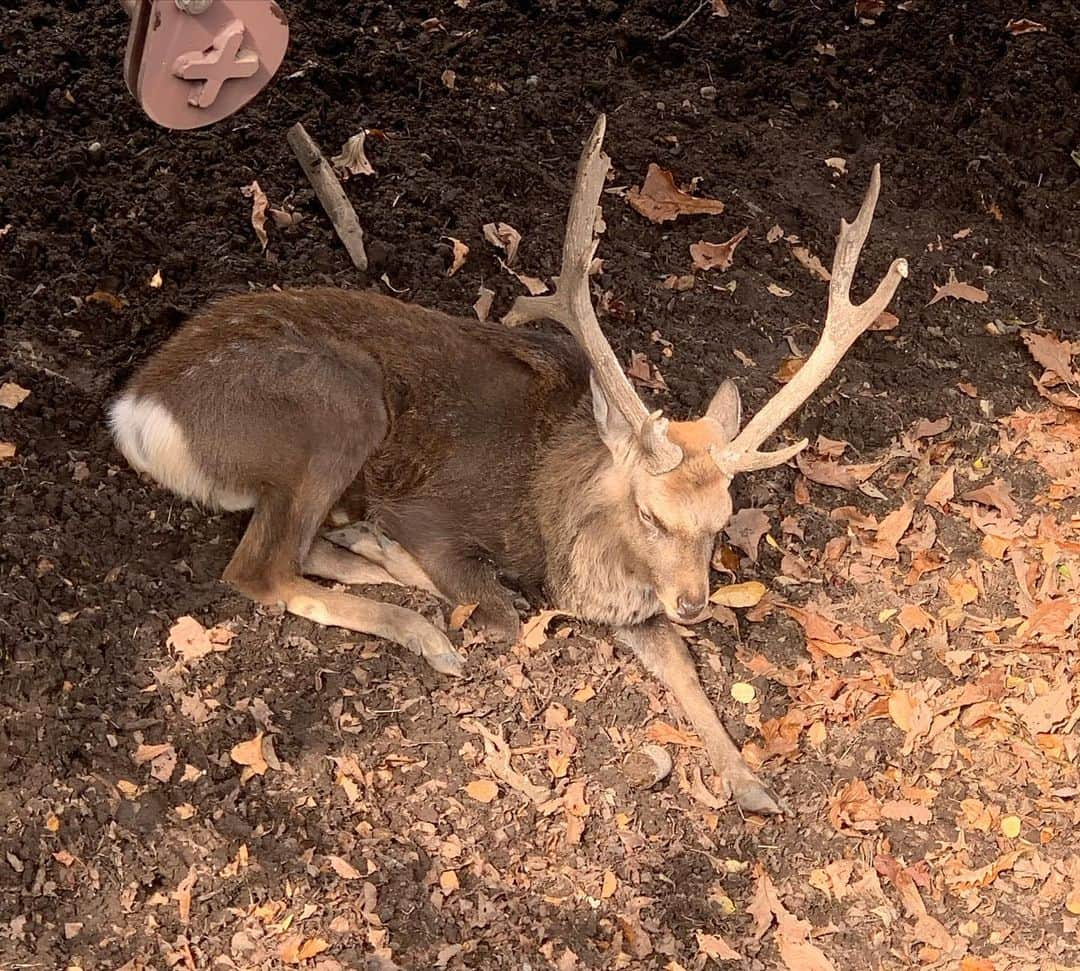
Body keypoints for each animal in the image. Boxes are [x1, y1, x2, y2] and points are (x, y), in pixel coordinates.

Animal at [109, 115, 907, 812]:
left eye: (723, 518)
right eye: (650, 513)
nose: (693, 601)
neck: (553, 519)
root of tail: (138, 415)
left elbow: (682, 667)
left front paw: (753, 784)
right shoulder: (432, 513)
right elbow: (500, 610)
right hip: (340, 404)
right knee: (261, 567)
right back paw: (423, 626)